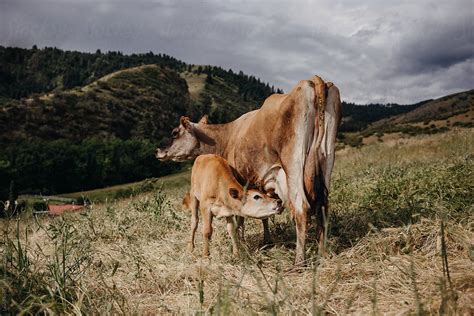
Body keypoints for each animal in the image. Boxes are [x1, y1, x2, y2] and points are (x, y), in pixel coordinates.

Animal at [157, 76, 342, 264]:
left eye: (174, 132)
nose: (158, 151)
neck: (226, 137)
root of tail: (314, 80)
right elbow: (265, 215)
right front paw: (266, 241)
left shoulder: (241, 181)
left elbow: (240, 217)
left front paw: (242, 243)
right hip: (326, 160)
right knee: (323, 208)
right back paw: (322, 253)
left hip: (293, 165)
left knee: (301, 209)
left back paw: (299, 260)